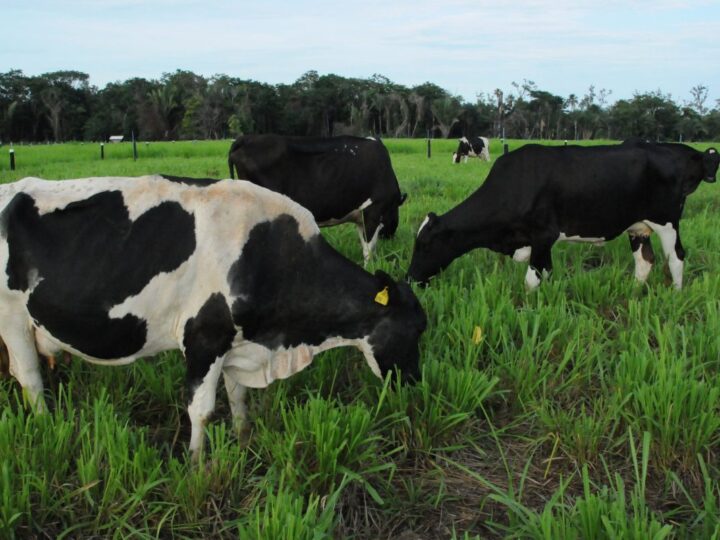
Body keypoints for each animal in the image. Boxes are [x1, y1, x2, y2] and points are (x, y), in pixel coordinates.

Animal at [0, 175, 424, 458]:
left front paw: (242, 438)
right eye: (414, 332)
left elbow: (238, 396)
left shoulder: (237, 342)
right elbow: (201, 410)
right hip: (13, 319)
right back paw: (48, 429)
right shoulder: (205, 338)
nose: (415, 385)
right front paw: (197, 466)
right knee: (31, 380)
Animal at [408, 141, 716, 288]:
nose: (410, 279)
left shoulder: (544, 236)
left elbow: (533, 279)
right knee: (645, 261)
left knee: (676, 258)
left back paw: (676, 294)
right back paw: (634, 292)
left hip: (667, 221)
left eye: (425, 245)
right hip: (638, 226)